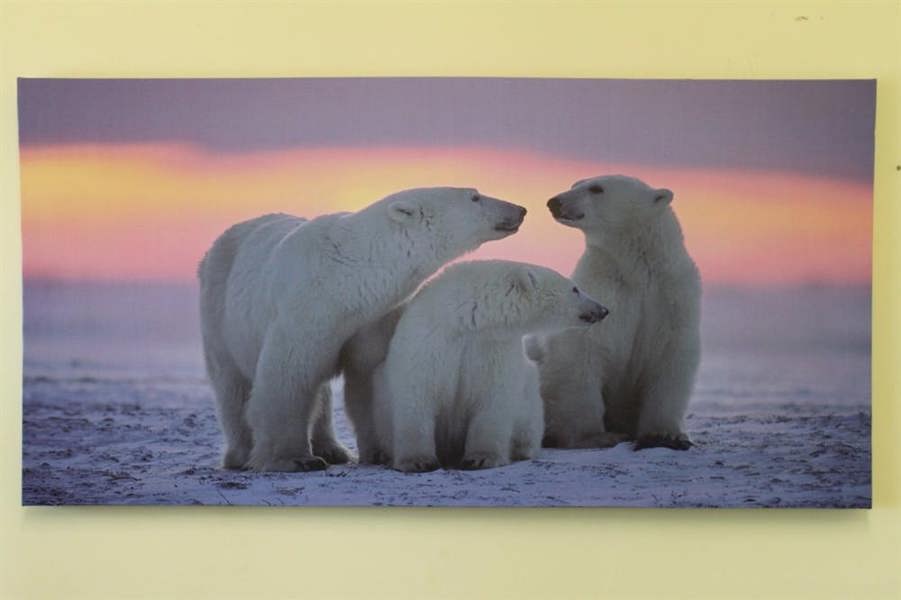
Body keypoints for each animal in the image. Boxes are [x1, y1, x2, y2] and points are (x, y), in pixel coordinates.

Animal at [198, 187, 527, 472]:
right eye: (474, 196)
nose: (520, 209)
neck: (347, 275)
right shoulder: (305, 307)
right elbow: (288, 375)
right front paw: (294, 459)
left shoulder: (372, 317)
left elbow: (368, 376)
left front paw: (380, 451)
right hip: (219, 309)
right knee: (232, 384)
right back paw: (241, 454)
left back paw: (333, 449)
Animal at [364, 260, 609, 472]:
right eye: (575, 289)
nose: (603, 309)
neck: (468, 320)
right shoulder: (430, 339)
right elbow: (417, 394)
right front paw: (418, 462)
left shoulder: (493, 346)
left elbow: (492, 398)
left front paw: (481, 458)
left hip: (529, 397)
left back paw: (521, 450)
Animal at [534, 174, 701, 450]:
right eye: (574, 184)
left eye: (596, 188)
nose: (554, 202)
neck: (636, 271)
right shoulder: (604, 290)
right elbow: (583, 353)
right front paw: (596, 436)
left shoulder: (671, 296)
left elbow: (670, 357)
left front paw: (665, 435)